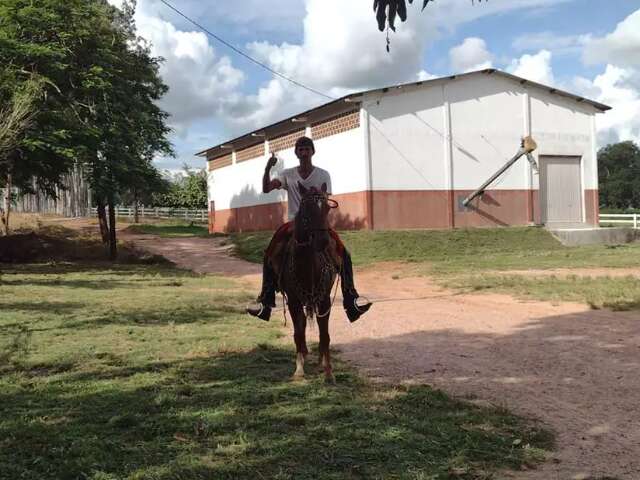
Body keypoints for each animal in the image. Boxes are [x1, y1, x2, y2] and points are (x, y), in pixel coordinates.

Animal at [280, 181, 340, 382]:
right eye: (306, 207)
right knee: (302, 327)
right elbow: (298, 333)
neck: (307, 265)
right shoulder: (293, 301)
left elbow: (325, 334)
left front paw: (329, 371)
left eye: (327, 208)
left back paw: (320, 359)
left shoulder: (325, 300)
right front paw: (299, 369)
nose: (322, 241)